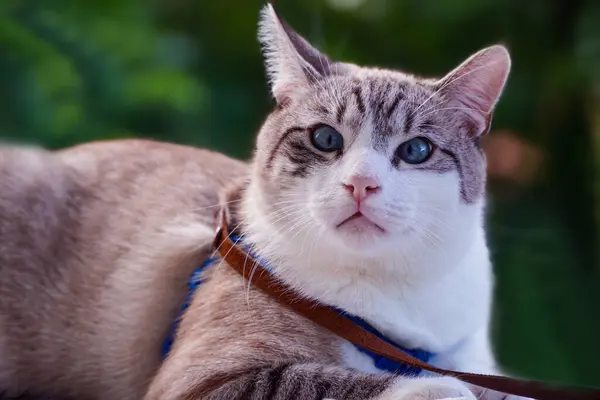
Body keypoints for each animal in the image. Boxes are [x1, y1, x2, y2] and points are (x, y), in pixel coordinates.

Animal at [0, 3, 520, 400]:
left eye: (415, 151)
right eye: (326, 138)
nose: (361, 185)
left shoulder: (472, 357)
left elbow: (495, 386)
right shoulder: (202, 382)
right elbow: (328, 380)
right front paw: (435, 387)